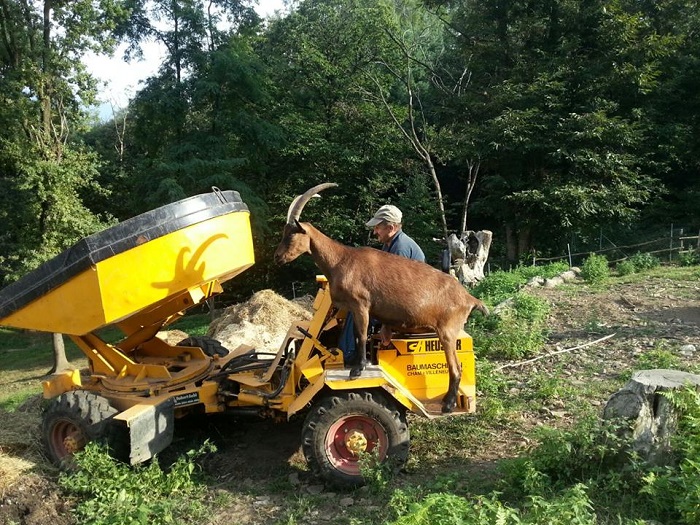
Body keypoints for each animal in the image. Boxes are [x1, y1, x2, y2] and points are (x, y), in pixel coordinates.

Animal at [274, 182, 486, 412]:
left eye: (292, 234)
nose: (277, 257)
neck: (341, 259)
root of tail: (470, 299)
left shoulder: (360, 304)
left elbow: (361, 334)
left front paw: (357, 369)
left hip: (447, 332)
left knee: (456, 368)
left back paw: (448, 404)